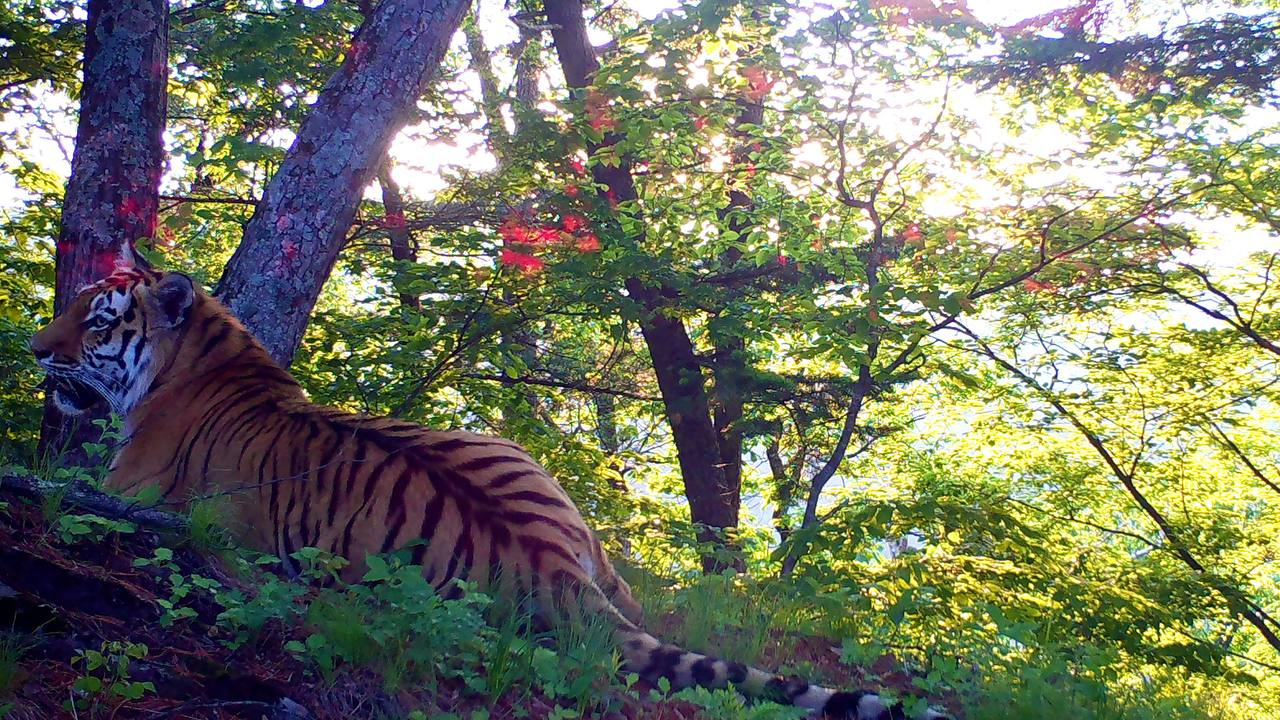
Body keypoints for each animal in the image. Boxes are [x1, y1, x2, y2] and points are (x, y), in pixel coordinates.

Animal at [30, 262, 952, 717]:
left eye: (95, 320)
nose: (37, 351)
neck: (201, 358)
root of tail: (550, 563)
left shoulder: (130, 483)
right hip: (533, 477)